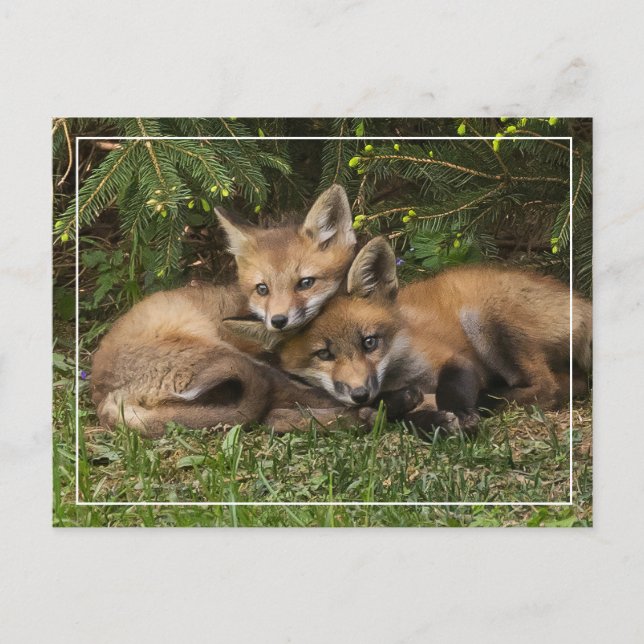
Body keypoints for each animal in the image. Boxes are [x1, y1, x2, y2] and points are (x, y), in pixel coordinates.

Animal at [90, 185, 378, 438]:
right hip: (226, 357)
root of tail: (103, 395)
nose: (278, 321)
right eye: (262, 289)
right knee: (274, 406)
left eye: (306, 283)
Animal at [268, 237, 592, 436]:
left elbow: (451, 387)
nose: (360, 393)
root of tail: (580, 301)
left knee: (549, 388)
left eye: (369, 342)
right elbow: (394, 414)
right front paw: (433, 420)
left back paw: (487, 399)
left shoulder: (452, 358)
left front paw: (459, 413)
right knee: (571, 383)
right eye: (324, 354)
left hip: (485, 320)